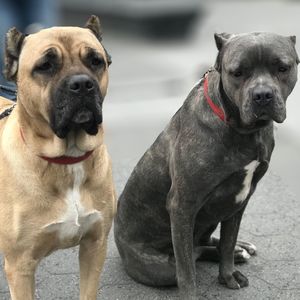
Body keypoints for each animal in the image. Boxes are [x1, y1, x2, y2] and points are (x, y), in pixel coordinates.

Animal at [0, 16, 115, 300]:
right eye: (45, 66)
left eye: (95, 60)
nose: (82, 84)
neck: (67, 159)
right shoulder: (20, 267)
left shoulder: (95, 246)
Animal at [113, 32, 298, 298]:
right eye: (237, 73)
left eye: (282, 68)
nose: (262, 95)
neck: (243, 130)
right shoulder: (183, 205)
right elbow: (186, 270)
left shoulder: (241, 198)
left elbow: (228, 240)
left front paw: (228, 273)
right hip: (160, 266)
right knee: (191, 255)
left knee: (204, 243)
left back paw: (240, 248)